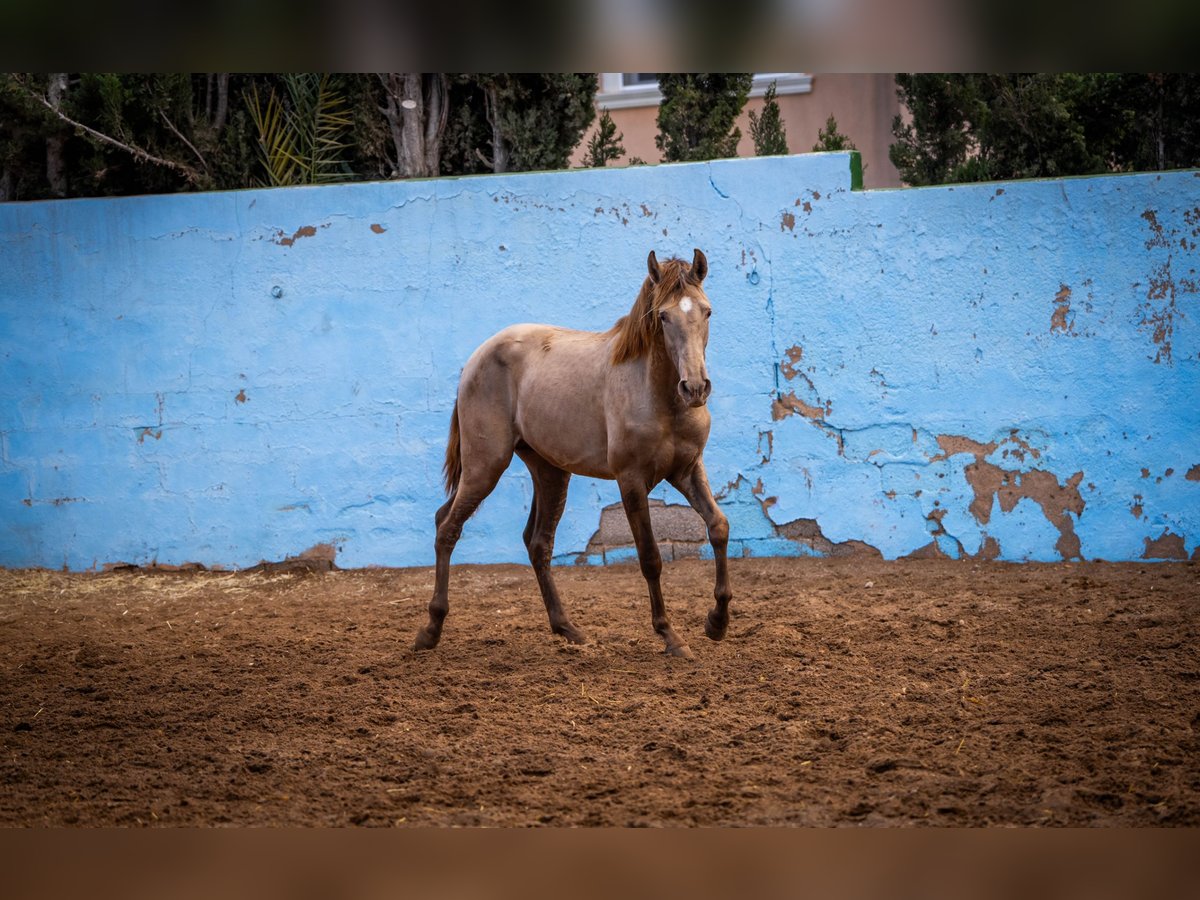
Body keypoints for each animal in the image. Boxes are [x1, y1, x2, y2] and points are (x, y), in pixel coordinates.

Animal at [412, 250, 729, 657]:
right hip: (485, 466)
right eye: (663, 316)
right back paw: (431, 630)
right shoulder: (631, 482)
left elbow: (718, 527)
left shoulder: (687, 470)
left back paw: (567, 628)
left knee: (537, 543)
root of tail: (475, 359)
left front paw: (717, 622)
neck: (658, 395)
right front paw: (670, 635)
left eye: (707, 311)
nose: (695, 387)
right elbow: (650, 557)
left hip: (549, 471)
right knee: (448, 528)